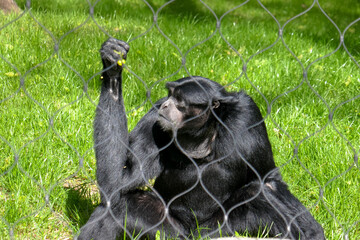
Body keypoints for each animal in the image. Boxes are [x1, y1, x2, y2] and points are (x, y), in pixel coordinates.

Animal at [77, 38, 324, 239]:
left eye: (179, 100)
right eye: (169, 95)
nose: (166, 105)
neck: (205, 132)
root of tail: (192, 233)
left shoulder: (247, 114)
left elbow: (268, 177)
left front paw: (312, 231)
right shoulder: (154, 118)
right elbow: (116, 184)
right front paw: (111, 66)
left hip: (218, 229)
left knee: (258, 192)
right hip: (170, 232)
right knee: (119, 205)